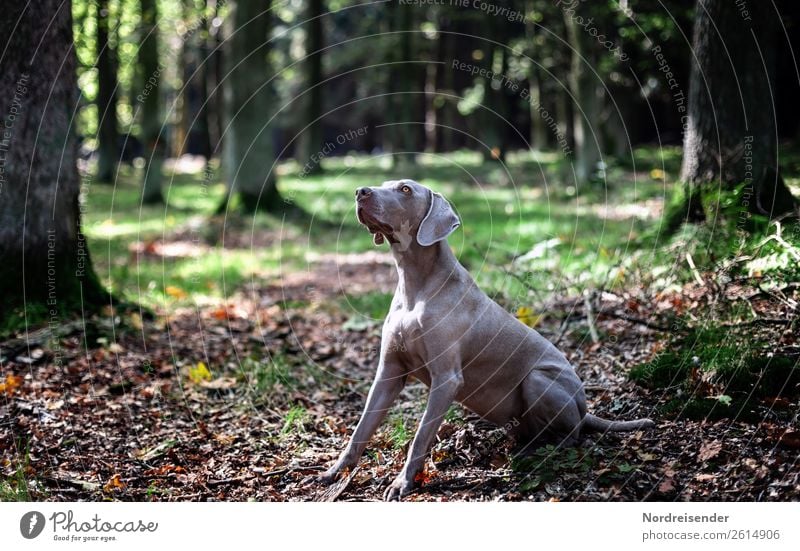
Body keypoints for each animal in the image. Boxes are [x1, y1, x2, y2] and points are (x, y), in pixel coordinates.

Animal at [322, 180, 652, 500]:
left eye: (405, 189)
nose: (360, 192)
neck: (415, 285)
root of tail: (585, 407)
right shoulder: (389, 372)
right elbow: (361, 428)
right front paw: (336, 471)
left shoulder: (447, 378)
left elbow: (420, 436)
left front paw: (402, 483)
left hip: (539, 379)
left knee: (572, 436)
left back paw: (538, 452)